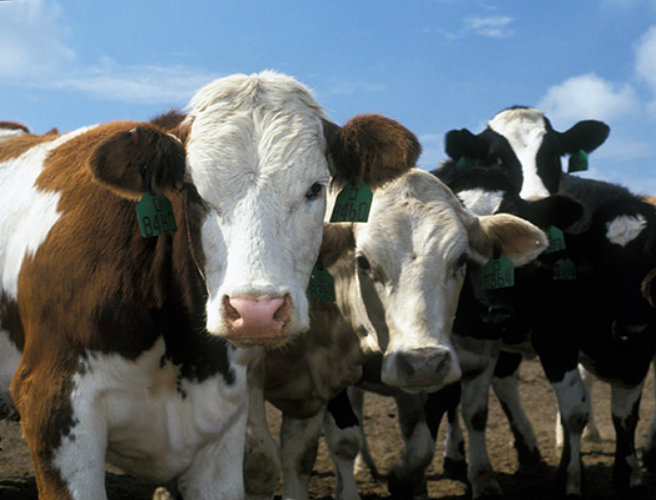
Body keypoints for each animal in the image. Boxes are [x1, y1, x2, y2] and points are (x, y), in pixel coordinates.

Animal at [252, 167, 549, 500]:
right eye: (363, 261)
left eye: (461, 259)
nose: (422, 363)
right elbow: (342, 440)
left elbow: (429, 435)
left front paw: (411, 480)